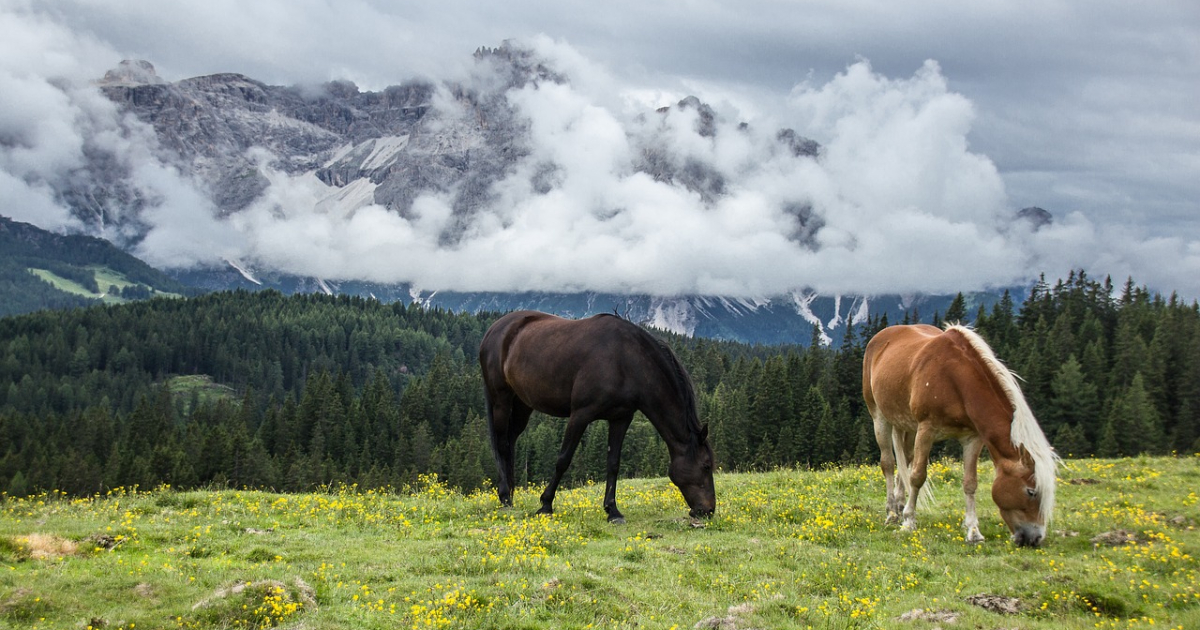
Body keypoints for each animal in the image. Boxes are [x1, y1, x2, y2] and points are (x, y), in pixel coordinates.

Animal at [479, 310, 715, 523]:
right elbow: (563, 460)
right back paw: (505, 498)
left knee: (510, 441)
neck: (626, 361)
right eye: (706, 466)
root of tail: (494, 329)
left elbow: (613, 464)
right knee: (502, 445)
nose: (708, 510)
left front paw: (613, 511)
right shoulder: (580, 415)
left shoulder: (621, 419)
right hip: (501, 399)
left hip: (523, 404)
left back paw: (510, 494)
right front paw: (546, 504)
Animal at [862, 324, 1057, 547]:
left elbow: (970, 483)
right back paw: (892, 514)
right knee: (888, 463)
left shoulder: (972, 438)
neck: (955, 379)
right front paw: (909, 521)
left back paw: (899, 505)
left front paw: (973, 531)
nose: (1035, 538)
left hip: (907, 425)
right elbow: (917, 476)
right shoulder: (926, 429)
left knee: (905, 460)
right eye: (1031, 491)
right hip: (879, 416)